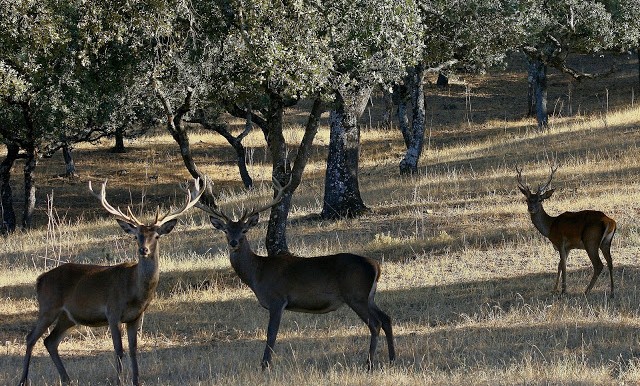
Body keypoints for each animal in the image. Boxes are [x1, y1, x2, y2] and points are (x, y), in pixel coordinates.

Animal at [19, 178, 205, 386]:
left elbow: (133, 350)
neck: (136, 292)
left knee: (50, 341)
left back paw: (67, 379)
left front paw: (136, 381)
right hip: (48, 306)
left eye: (156, 236)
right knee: (30, 338)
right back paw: (23, 379)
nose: (143, 250)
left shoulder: (135, 316)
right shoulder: (113, 311)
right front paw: (119, 380)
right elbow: (119, 349)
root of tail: (39, 280)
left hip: (68, 316)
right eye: (136, 236)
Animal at [185, 179, 396, 370]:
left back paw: (369, 364)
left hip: (355, 295)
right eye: (226, 231)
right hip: (368, 296)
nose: (234, 242)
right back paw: (392, 359)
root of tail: (376, 266)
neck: (257, 274)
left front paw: (265, 365)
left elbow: (271, 333)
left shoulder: (277, 299)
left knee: (375, 323)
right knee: (386, 318)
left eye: (244, 230)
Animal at [516, 167, 616, 298]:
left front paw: (563, 290)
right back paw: (612, 292)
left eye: (540, 200)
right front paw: (555, 289)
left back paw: (586, 291)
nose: (531, 209)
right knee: (610, 262)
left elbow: (563, 265)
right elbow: (559, 265)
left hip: (591, 241)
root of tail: (609, 221)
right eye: (527, 199)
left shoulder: (560, 242)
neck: (550, 227)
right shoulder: (568, 247)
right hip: (606, 243)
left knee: (599, 265)